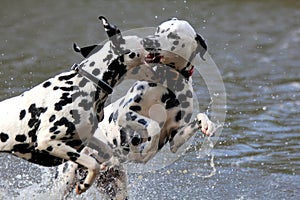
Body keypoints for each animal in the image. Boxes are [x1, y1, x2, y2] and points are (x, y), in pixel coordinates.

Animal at [0, 16, 154, 195]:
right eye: (142, 41)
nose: (153, 39)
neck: (87, 83)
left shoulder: (87, 137)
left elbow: (108, 154)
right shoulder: (49, 143)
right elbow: (93, 164)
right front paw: (85, 184)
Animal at [55, 18, 217, 199]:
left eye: (173, 36)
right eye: (158, 30)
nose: (146, 41)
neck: (169, 85)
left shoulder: (175, 138)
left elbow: (199, 118)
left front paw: (207, 125)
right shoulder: (124, 114)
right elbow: (153, 126)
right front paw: (147, 149)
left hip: (117, 190)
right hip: (65, 181)